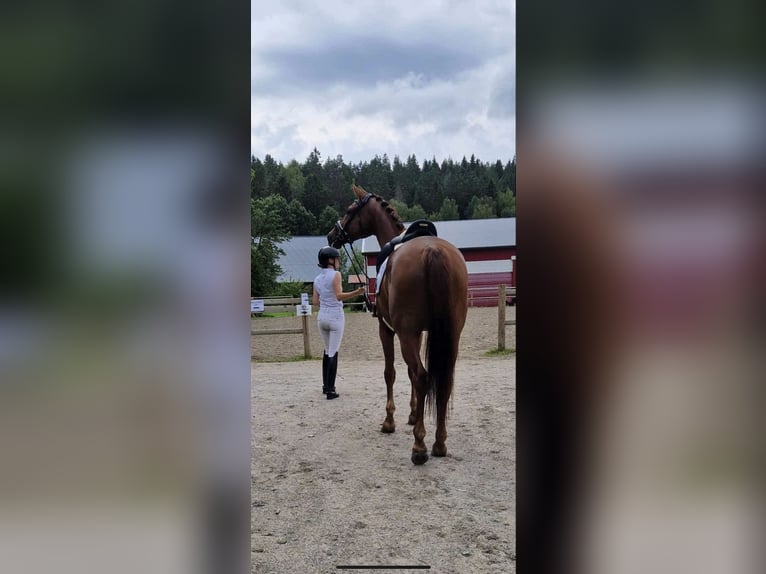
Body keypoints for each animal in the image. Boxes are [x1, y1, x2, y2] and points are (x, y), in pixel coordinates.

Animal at [328, 184, 472, 468]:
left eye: (350, 210)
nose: (332, 235)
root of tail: (433, 251)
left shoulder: (388, 330)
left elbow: (391, 373)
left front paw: (390, 421)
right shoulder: (419, 334)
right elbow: (408, 374)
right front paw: (413, 414)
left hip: (406, 334)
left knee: (423, 376)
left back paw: (420, 446)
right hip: (451, 335)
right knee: (443, 379)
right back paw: (439, 443)